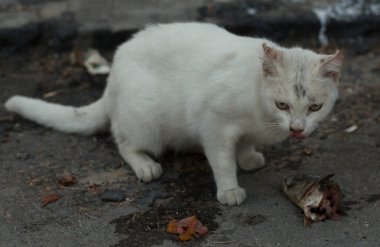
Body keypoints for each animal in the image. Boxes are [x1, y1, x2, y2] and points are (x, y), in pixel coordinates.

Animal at [4, 23, 342, 206]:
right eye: (282, 105)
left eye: (314, 108)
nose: (297, 128)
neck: (259, 111)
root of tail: (112, 75)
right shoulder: (214, 124)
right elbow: (222, 162)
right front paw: (229, 188)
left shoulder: (243, 129)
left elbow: (245, 143)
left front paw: (247, 158)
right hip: (146, 121)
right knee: (123, 143)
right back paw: (145, 165)